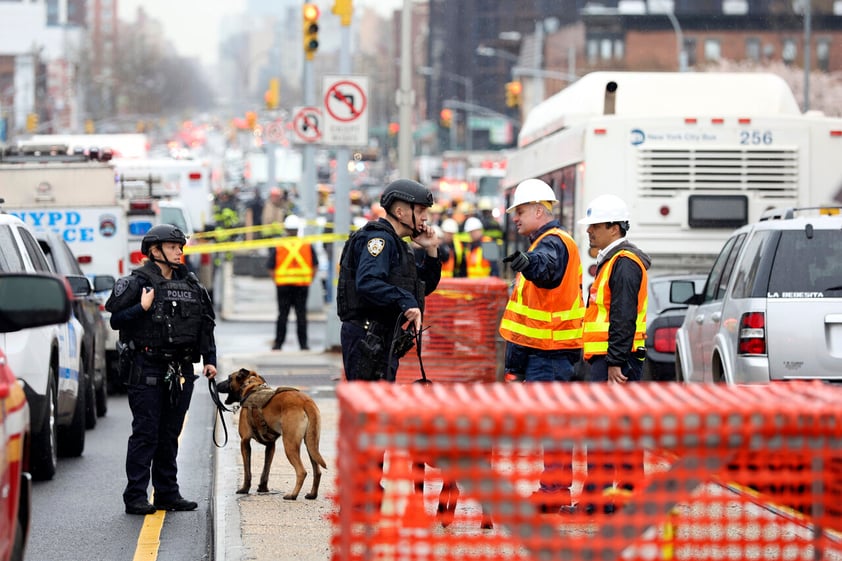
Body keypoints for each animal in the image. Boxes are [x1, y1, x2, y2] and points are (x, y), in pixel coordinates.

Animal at [217, 368, 324, 498]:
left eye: (229, 378)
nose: (216, 384)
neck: (250, 386)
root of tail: (306, 401)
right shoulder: (271, 445)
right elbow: (266, 470)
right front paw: (263, 488)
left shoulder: (244, 442)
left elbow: (247, 471)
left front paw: (244, 489)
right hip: (311, 444)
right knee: (317, 471)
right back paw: (312, 494)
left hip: (290, 444)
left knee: (302, 471)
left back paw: (292, 495)